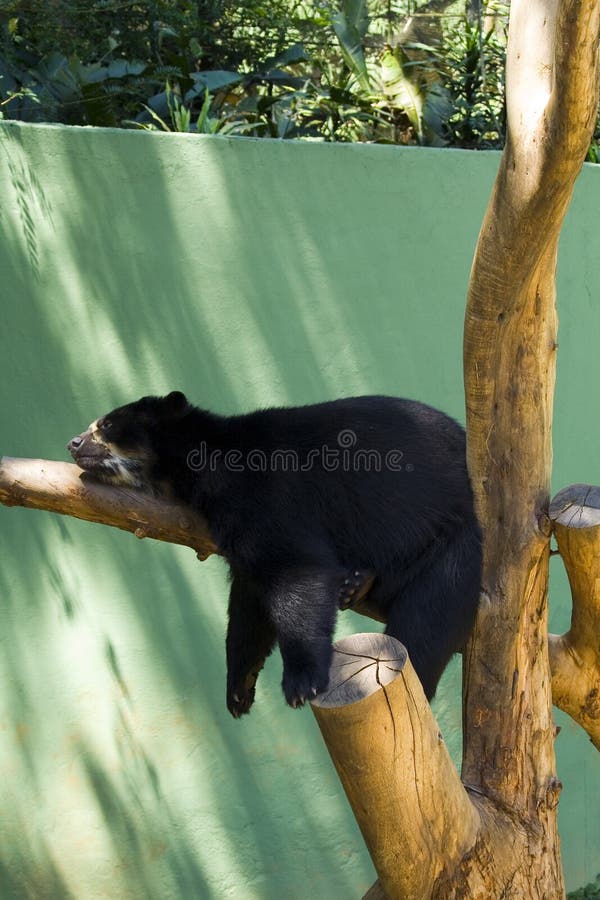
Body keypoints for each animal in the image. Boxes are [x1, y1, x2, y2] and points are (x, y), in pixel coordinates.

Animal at [67, 392, 482, 715]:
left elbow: (296, 569)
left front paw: (302, 684)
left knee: (424, 622)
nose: (72, 442)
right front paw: (238, 691)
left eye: (106, 424)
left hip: (448, 540)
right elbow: (248, 605)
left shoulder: (267, 495)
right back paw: (355, 584)